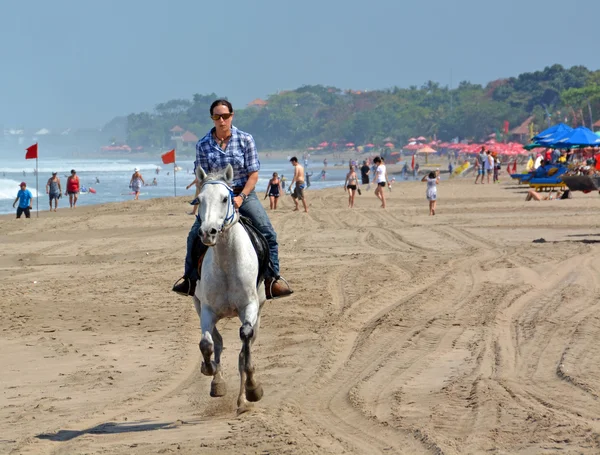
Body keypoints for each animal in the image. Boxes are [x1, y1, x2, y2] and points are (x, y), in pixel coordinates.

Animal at [195, 164, 264, 414]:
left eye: (226, 198)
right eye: (199, 199)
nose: (208, 232)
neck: (226, 262)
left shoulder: (250, 307)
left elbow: (245, 344)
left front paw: (253, 390)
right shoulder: (206, 309)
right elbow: (206, 343)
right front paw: (210, 371)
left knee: (245, 348)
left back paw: (243, 401)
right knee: (217, 342)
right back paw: (218, 383)